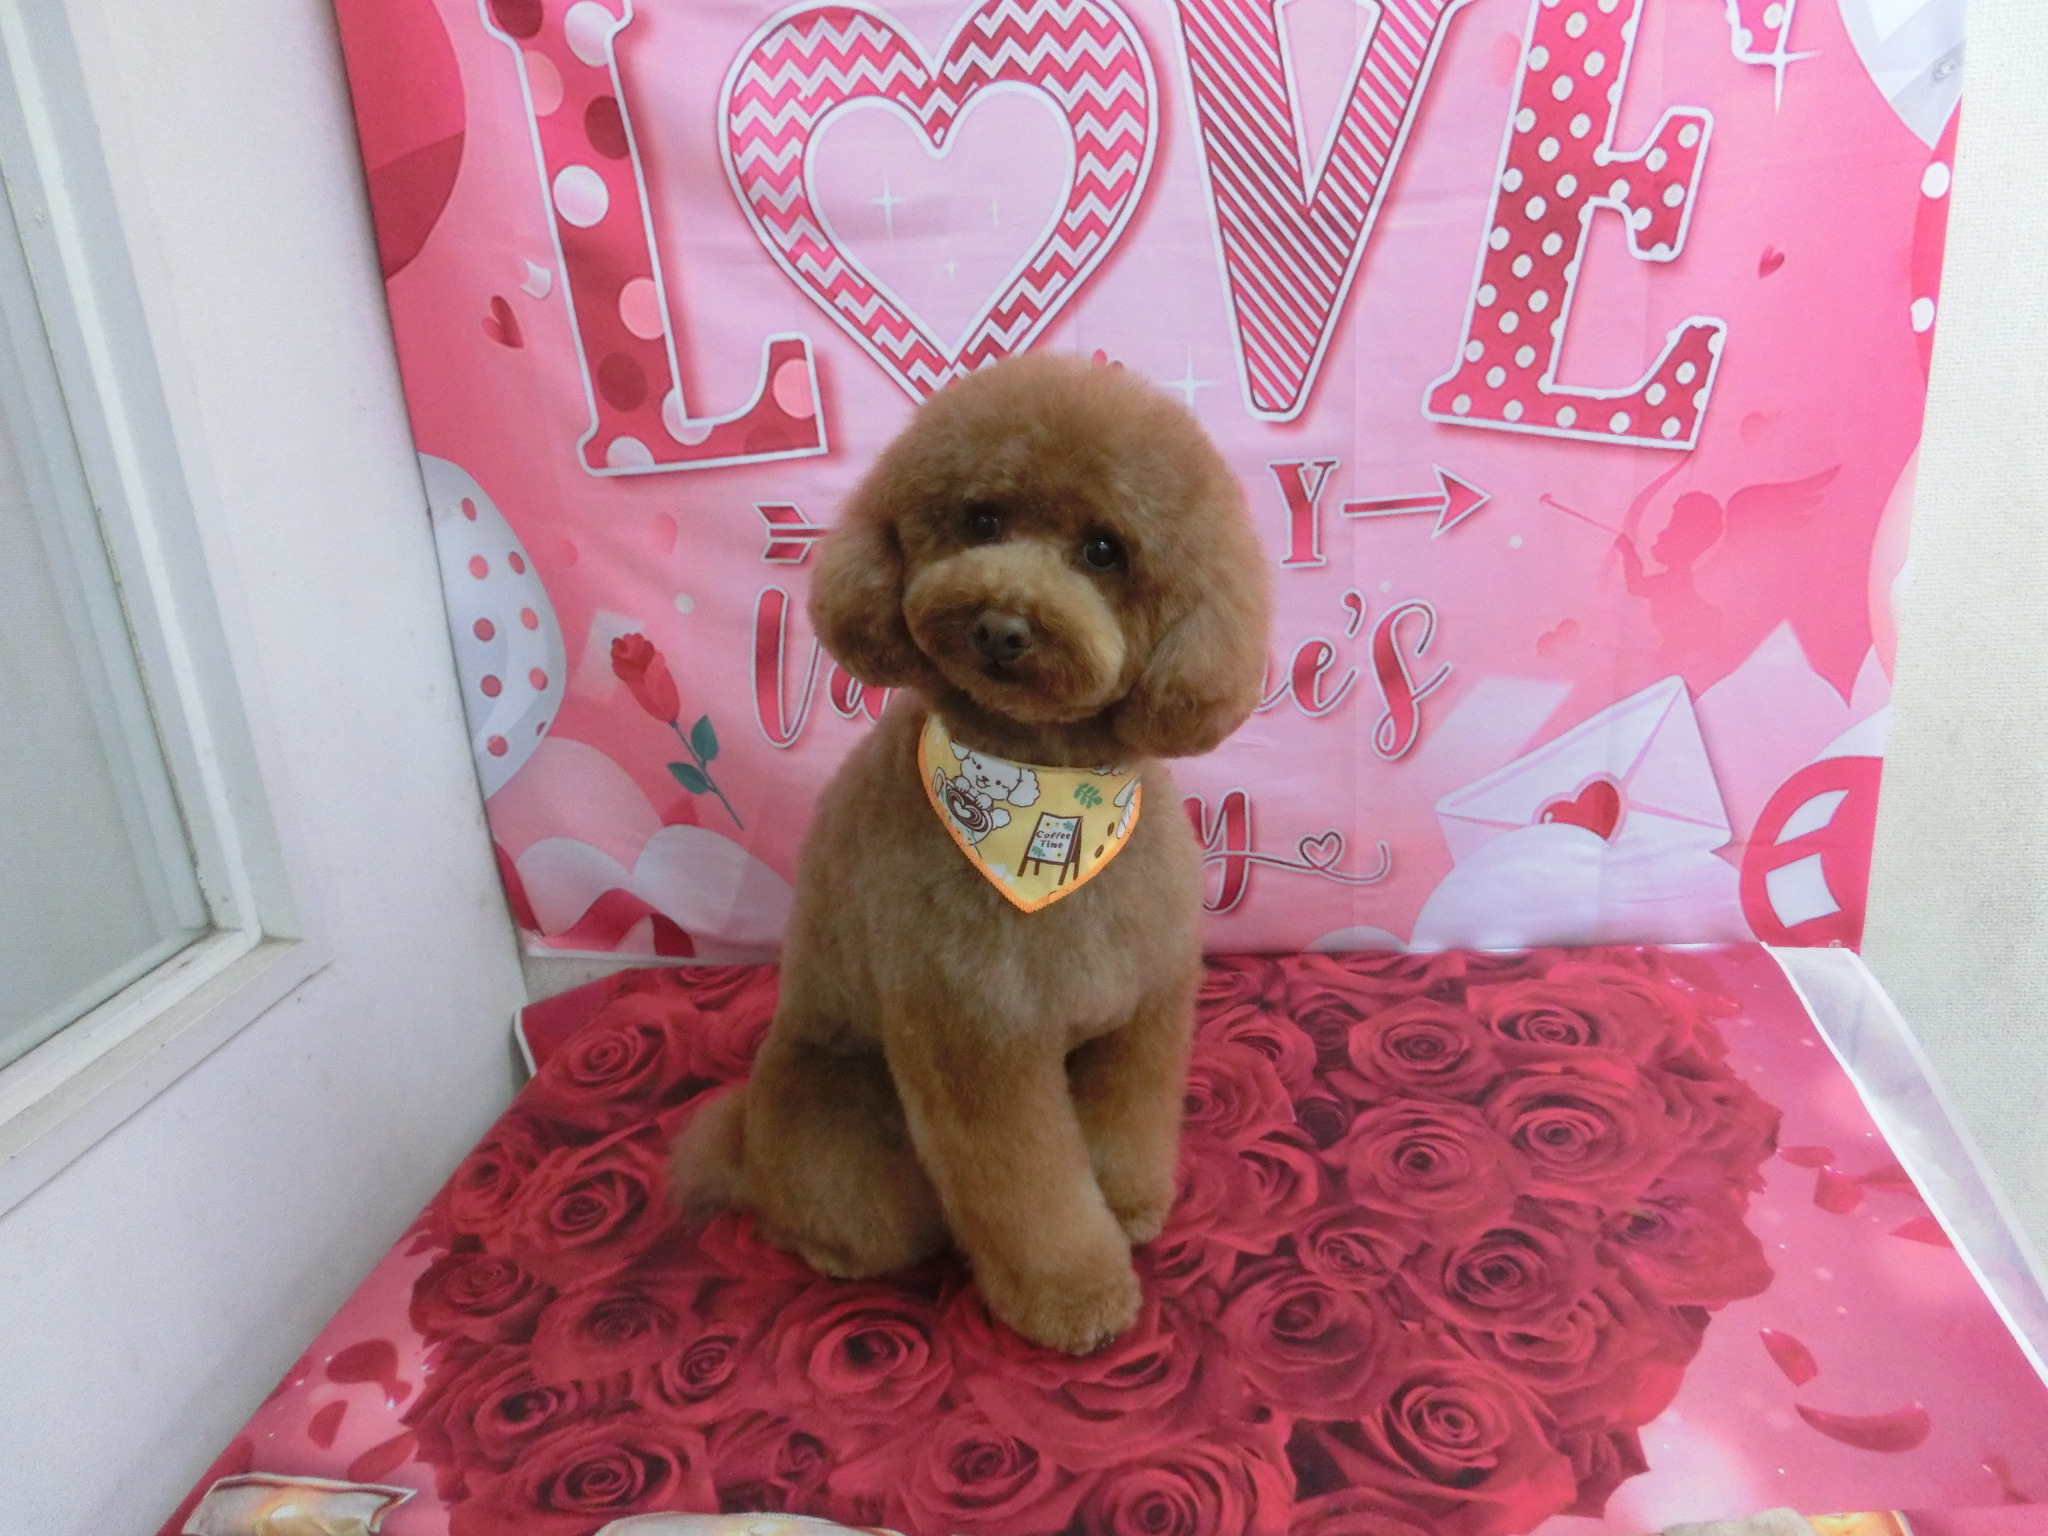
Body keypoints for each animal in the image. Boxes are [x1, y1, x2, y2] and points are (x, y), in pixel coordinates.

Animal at [674, 352, 1270, 1354]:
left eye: (1103, 550)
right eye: (982, 520)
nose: (1002, 626)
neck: (1046, 803)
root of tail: (747, 1137)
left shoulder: (1141, 1014)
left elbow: (1124, 1127)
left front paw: (1130, 1209)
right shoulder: (978, 1041)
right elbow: (1028, 1193)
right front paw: (1076, 1298)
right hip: (845, 1132)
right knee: (837, 1215)